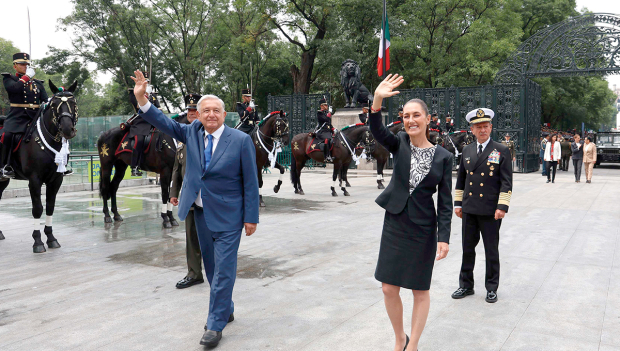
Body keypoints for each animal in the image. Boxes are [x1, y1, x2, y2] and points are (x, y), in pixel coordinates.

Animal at [0, 81, 80, 253]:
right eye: (55, 105)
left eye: (73, 103)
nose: (67, 129)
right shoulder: (34, 180)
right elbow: (37, 208)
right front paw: (37, 241)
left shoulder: (56, 180)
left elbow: (50, 206)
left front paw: (51, 238)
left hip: (3, 180)